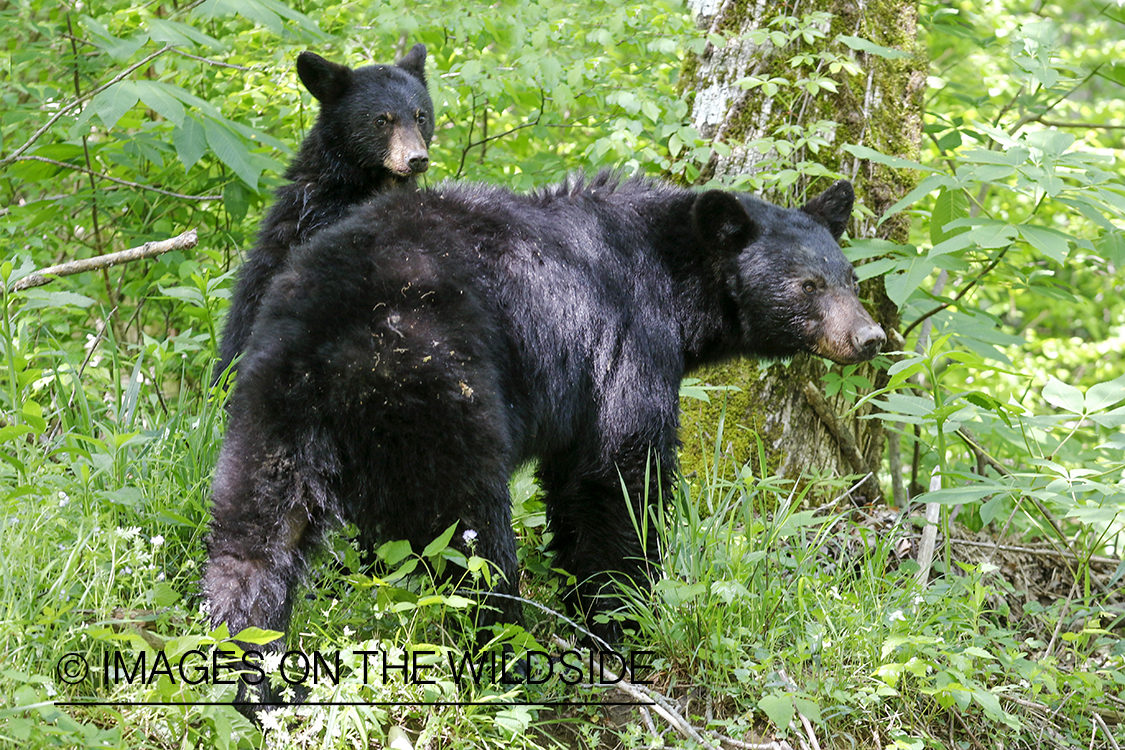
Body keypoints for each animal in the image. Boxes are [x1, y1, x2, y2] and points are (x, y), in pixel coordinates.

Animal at [204, 176, 886, 697]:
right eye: (808, 285)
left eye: (850, 279)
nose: (870, 337)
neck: (674, 278)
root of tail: (328, 345)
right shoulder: (627, 340)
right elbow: (618, 473)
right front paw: (624, 616)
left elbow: (575, 482)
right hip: (442, 394)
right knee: (470, 542)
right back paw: (508, 650)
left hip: (268, 414)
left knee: (254, 538)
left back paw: (245, 663)